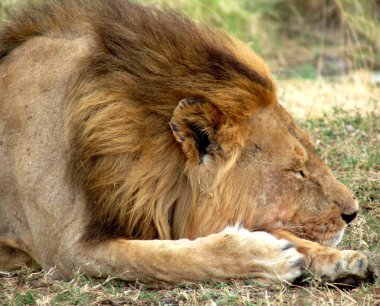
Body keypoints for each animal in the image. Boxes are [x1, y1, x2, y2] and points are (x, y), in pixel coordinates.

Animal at [0, 0, 376, 284]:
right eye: (297, 171)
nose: (352, 213)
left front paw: (340, 259)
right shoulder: (65, 250)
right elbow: (165, 258)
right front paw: (267, 258)